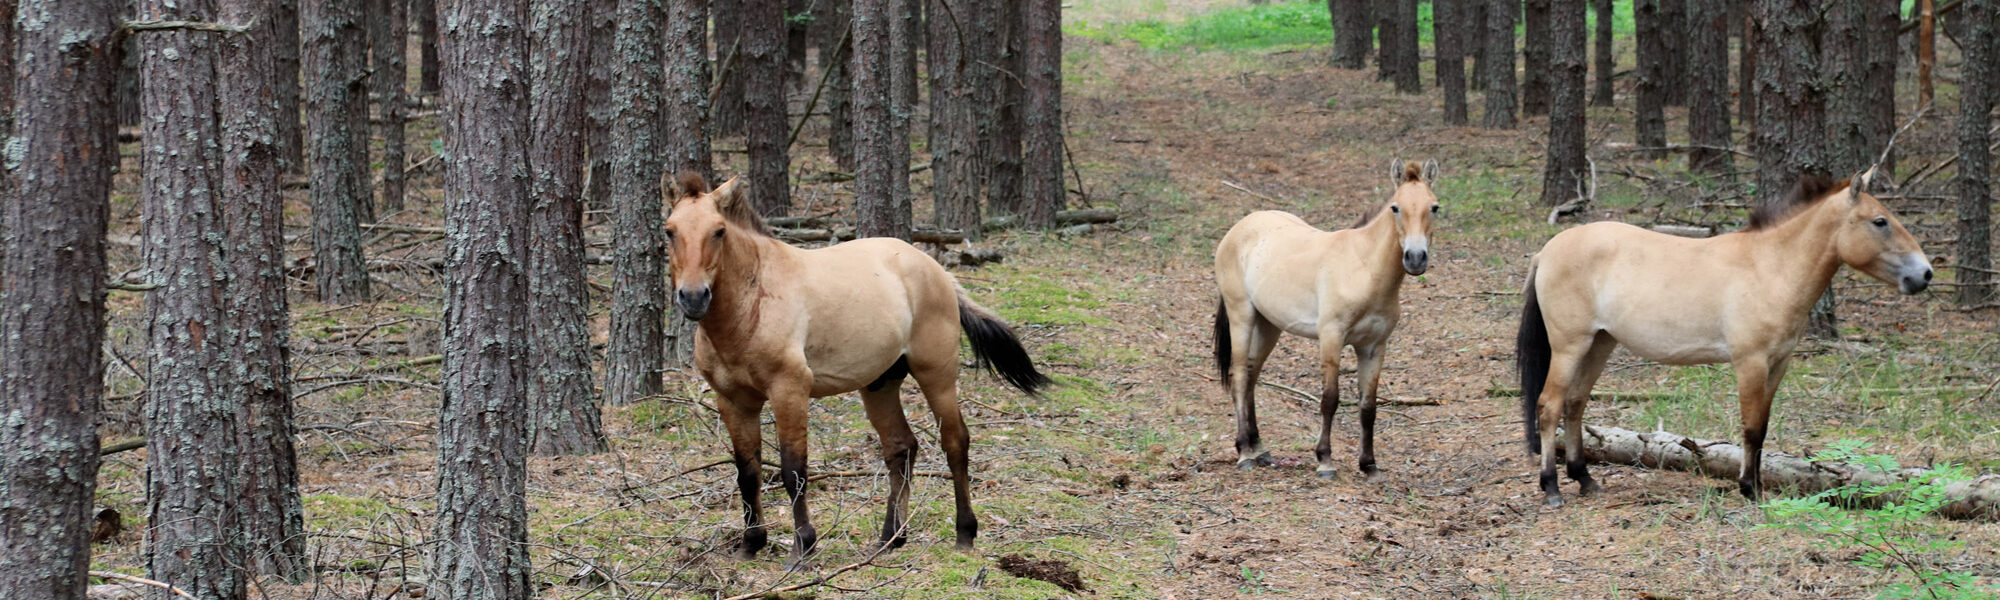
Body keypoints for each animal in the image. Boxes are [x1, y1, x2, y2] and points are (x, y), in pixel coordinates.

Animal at [664, 171, 1056, 564]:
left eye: (718, 231)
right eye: (669, 231)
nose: (694, 297)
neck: (753, 301)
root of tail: (935, 269)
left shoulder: (788, 390)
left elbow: (793, 469)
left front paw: (803, 546)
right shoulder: (733, 400)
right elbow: (747, 473)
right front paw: (751, 544)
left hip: (937, 375)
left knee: (954, 441)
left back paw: (965, 533)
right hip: (880, 384)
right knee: (901, 447)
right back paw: (890, 538)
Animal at [1208, 158, 1448, 478]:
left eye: (1434, 207)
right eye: (1395, 207)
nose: (1416, 258)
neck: (1363, 268)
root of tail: (1238, 229)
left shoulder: (1374, 346)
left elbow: (1368, 406)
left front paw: (1369, 465)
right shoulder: (1331, 338)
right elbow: (1330, 399)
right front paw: (1325, 461)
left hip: (1269, 325)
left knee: (1251, 376)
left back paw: (1259, 449)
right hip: (1242, 316)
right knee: (1240, 376)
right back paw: (1245, 452)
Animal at [1512, 169, 1936, 506]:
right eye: (1880, 221)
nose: (1925, 274)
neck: (1770, 268)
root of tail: (1547, 252)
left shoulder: (1778, 364)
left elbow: (1763, 427)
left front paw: (1757, 485)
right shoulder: (1750, 363)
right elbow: (1750, 427)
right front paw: (1749, 489)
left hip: (1600, 344)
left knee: (1575, 405)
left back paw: (1584, 479)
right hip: (1570, 346)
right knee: (1549, 406)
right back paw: (1552, 488)